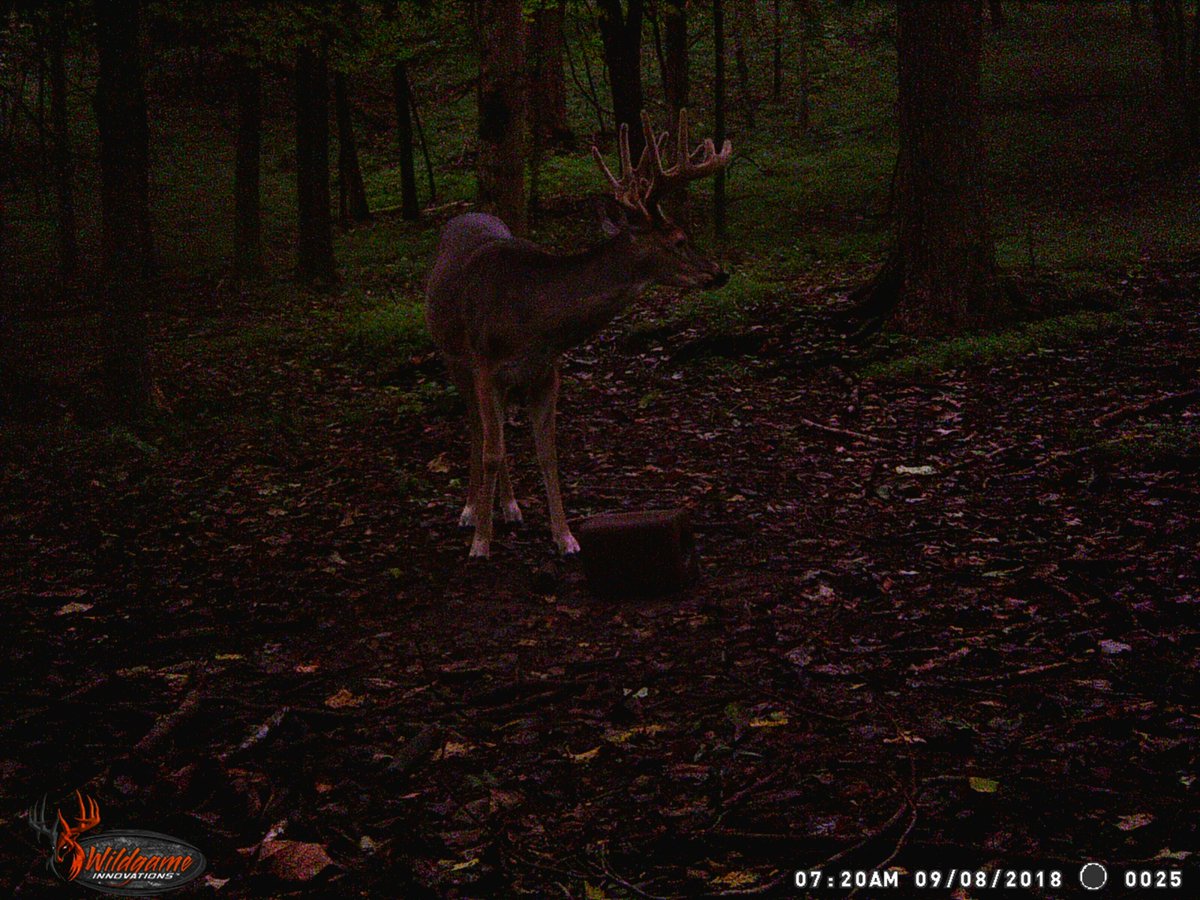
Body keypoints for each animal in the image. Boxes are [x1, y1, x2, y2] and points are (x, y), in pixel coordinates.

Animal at [425, 109, 732, 559]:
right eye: (679, 239)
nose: (719, 272)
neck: (534, 323)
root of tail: (463, 216)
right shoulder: (485, 365)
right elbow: (491, 449)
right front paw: (481, 542)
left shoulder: (546, 372)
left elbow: (547, 454)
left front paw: (565, 537)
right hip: (453, 357)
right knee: (477, 429)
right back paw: (469, 510)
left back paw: (511, 507)